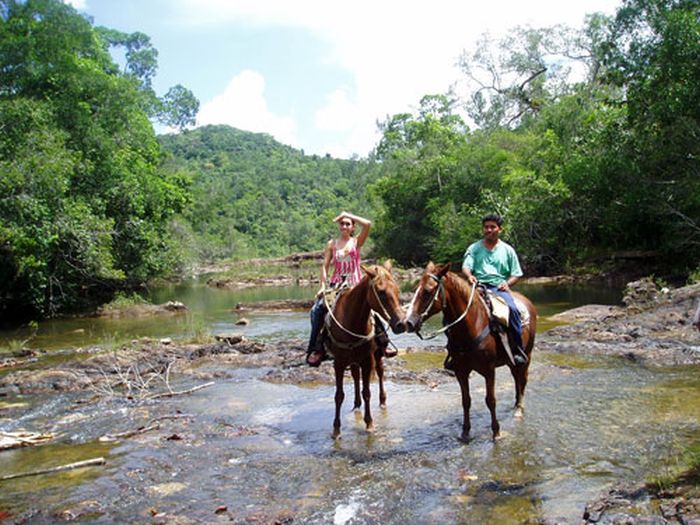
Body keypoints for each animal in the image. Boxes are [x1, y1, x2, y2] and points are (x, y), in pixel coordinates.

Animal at [326, 260, 408, 438]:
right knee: (356, 377)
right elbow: (339, 395)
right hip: (353, 360)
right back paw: (356, 405)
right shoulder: (339, 363)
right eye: (381, 292)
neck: (351, 320)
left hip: (376, 355)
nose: (401, 324)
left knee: (380, 372)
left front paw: (369, 424)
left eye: (397, 290)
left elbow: (367, 392)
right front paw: (336, 429)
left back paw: (382, 401)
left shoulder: (367, 360)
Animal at [402, 260, 540, 438]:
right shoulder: (461, 371)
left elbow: (490, 400)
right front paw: (465, 431)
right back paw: (516, 405)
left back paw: (519, 409)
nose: (408, 322)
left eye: (428, 291)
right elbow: (466, 401)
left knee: (522, 379)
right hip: (511, 360)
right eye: (415, 290)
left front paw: (496, 432)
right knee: (517, 379)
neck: (471, 325)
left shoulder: (489, 370)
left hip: (527, 355)